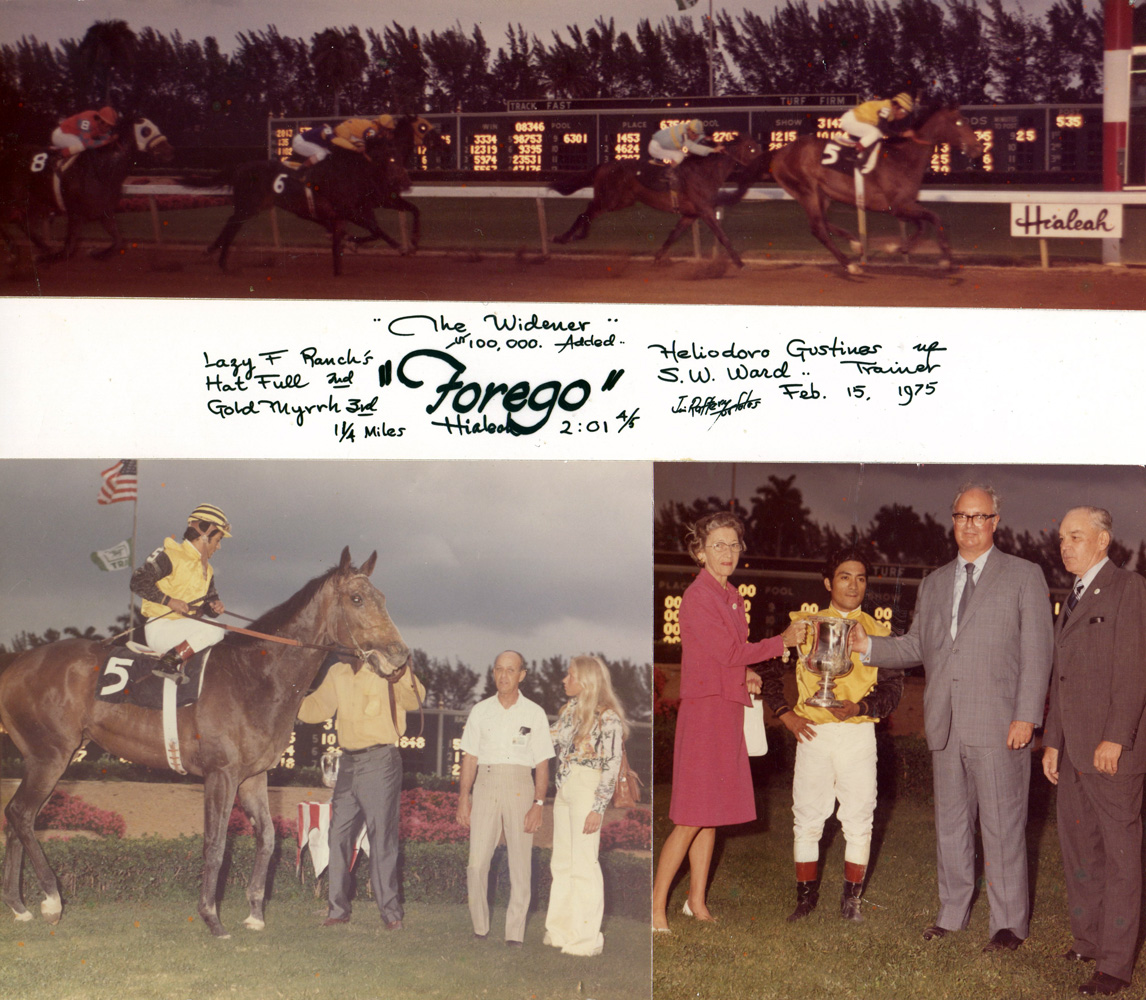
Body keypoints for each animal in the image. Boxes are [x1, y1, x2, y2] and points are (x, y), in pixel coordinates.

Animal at [0, 545, 412, 934]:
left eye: (382, 597)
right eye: (356, 598)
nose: (401, 655)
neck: (256, 675)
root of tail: (18, 661)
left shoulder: (254, 776)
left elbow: (268, 839)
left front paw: (255, 914)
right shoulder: (221, 774)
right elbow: (216, 844)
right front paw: (212, 918)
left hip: (40, 758)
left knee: (16, 818)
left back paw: (19, 906)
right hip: (52, 755)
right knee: (21, 814)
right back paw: (51, 900)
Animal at [1, 115, 175, 263]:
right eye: (145, 131)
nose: (169, 150)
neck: (102, 169)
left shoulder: (104, 210)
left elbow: (119, 241)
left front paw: (97, 253)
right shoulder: (75, 213)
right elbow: (68, 249)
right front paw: (45, 258)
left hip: (35, 202)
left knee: (23, 222)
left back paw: (41, 247)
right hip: (11, 200)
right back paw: (15, 252)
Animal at [206, 132, 412, 274]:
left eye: (402, 157)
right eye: (392, 158)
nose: (405, 182)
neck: (349, 171)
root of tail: (241, 167)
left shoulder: (355, 210)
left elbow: (368, 230)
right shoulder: (350, 210)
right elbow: (376, 230)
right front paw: (402, 248)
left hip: (253, 206)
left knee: (232, 224)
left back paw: (213, 255)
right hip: (248, 205)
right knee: (232, 224)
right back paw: (219, 260)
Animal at [547, 136, 765, 269]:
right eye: (751, 148)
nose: (763, 165)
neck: (705, 173)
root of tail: (604, 165)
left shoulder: (690, 214)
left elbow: (673, 235)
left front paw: (657, 258)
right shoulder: (705, 211)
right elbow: (722, 236)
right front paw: (740, 263)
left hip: (622, 200)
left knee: (589, 211)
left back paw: (576, 235)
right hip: (610, 199)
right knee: (587, 211)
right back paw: (564, 237)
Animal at [765, 104, 980, 272]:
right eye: (960, 122)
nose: (977, 148)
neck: (903, 159)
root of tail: (780, 152)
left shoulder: (904, 206)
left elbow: (922, 225)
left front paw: (898, 248)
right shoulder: (899, 206)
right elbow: (934, 218)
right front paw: (945, 260)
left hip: (821, 194)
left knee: (823, 222)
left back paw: (855, 244)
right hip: (806, 190)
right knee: (818, 228)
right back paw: (850, 264)